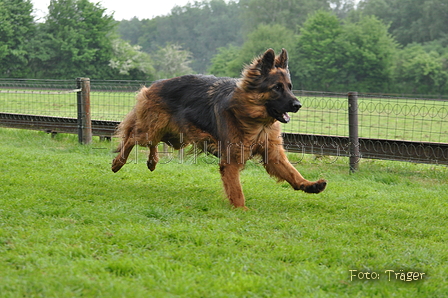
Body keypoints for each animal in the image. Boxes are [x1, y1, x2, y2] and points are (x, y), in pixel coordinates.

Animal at [113, 48, 326, 207]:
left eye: (290, 87)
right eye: (277, 88)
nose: (298, 105)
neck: (253, 118)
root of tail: (153, 85)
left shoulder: (272, 152)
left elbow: (292, 172)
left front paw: (309, 185)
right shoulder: (231, 160)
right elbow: (237, 191)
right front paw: (242, 210)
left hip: (173, 137)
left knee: (152, 142)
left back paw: (152, 162)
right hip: (153, 130)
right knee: (132, 137)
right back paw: (118, 162)